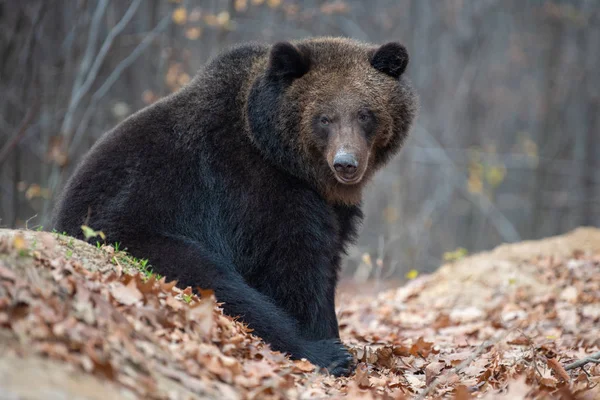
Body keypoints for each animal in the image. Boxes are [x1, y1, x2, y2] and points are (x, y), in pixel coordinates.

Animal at [52, 36, 418, 376]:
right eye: (324, 118)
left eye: (365, 114)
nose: (346, 163)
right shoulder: (252, 191)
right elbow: (294, 267)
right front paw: (327, 341)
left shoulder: (330, 208)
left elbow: (327, 260)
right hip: (133, 229)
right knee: (217, 281)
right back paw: (324, 354)